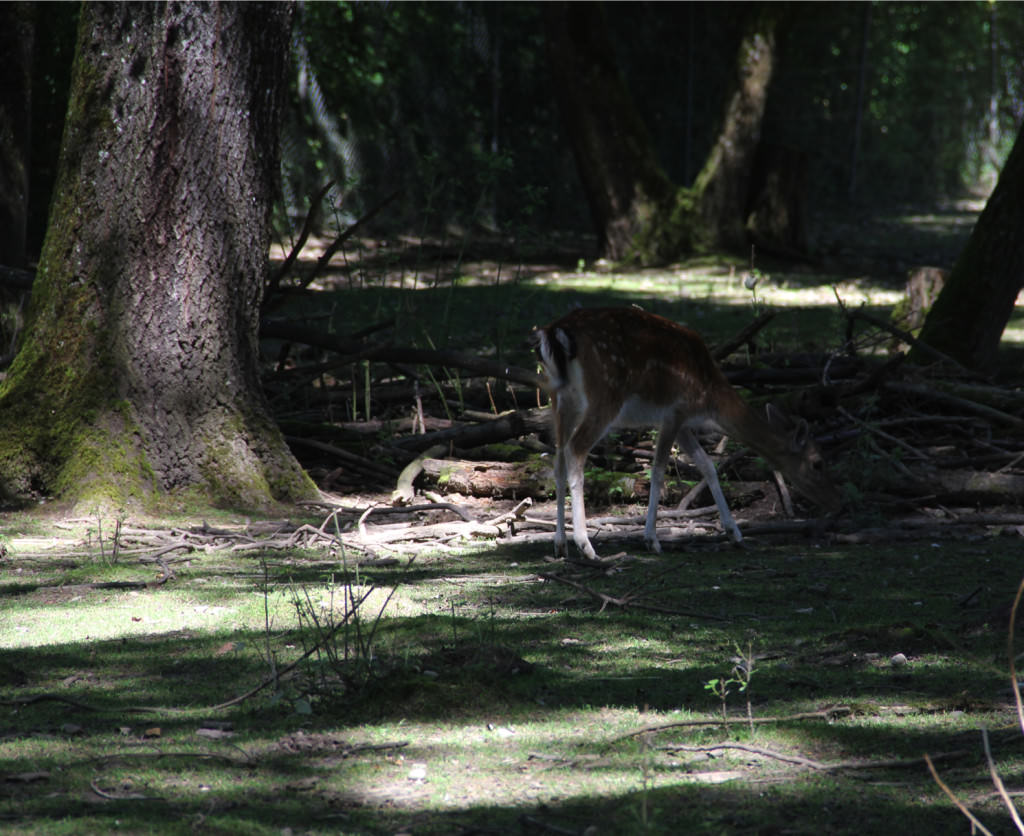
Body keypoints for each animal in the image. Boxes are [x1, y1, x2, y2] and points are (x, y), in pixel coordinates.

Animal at [528, 307, 839, 561]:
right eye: (818, 463)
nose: (836, 500)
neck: (710, 401)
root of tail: (555, 332)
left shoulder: (685, 423)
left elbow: (708, 465)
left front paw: (735, 534)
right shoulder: (674, 412)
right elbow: (658, 471)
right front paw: (652, 540)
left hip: (560, 397)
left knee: (558, 458)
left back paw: (560, 544)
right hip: (605, 393)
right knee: (576, 449)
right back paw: (586, 546)